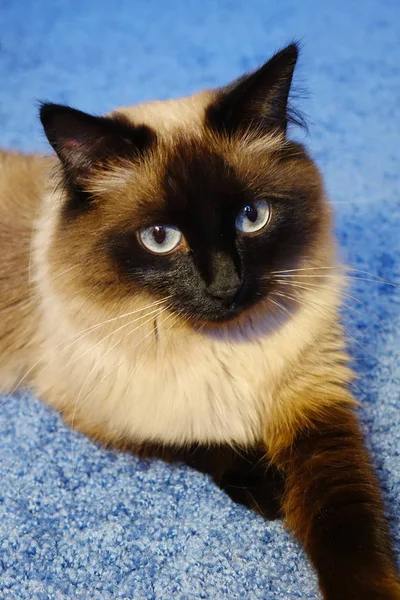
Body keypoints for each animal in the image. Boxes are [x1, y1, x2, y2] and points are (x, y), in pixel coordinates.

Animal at [0, 43, 398, 600]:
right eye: (160, 238)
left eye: (251, 217)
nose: (226, 285)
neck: (225, 346)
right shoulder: (105, 409)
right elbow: (198, 439)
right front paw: (272, 491)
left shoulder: (315, 404)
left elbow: (349, 526)